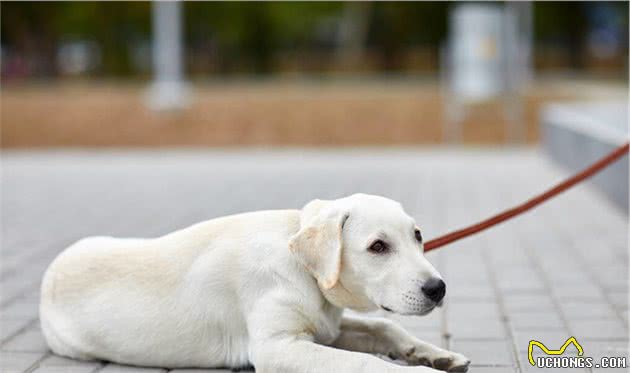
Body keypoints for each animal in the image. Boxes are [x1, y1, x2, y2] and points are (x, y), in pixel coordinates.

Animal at [39, 193, 472, 372]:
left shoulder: (327, 328)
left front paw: (436, 355)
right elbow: (364, 362)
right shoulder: (277, 347)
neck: (303, 269)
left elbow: (384, 327)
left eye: (417, 236)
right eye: (378, 247)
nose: (438, 289)